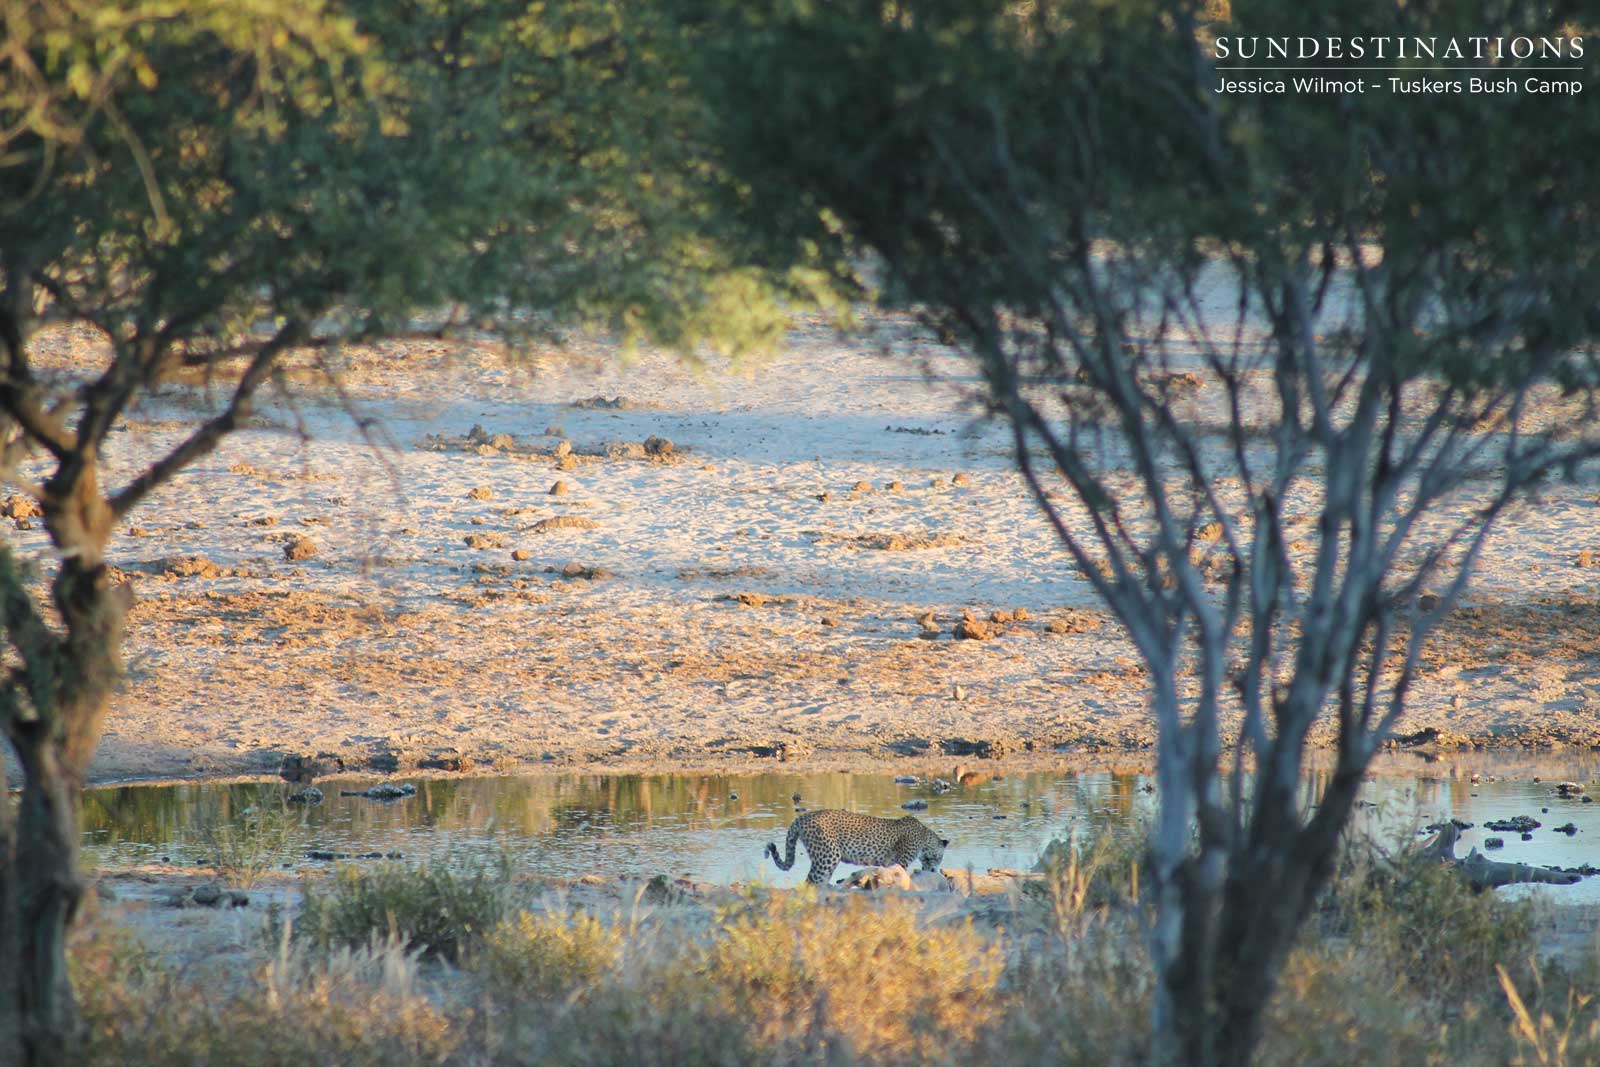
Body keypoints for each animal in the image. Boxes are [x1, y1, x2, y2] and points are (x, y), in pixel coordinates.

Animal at [764, 809, 949, 885]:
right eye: (939, 858)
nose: (933, 870)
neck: (925, 836)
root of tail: (801, 817)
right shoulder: (901, 860)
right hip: (829, 855)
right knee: (810, 881)